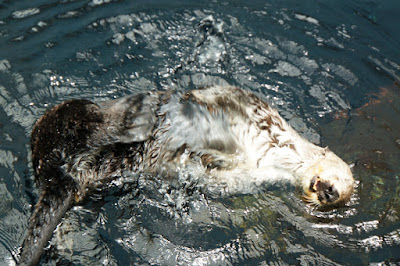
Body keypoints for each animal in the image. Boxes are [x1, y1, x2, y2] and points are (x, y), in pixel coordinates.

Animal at [18, 86, 354, 264]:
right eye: (339, 181)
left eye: (337, 198)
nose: (328, 193)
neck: (276, 155)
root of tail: (58, 172)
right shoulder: (253, 111)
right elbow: (218, 102)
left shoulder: (247, 176)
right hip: (67, 117)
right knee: (96, 120)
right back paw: (141, 111)